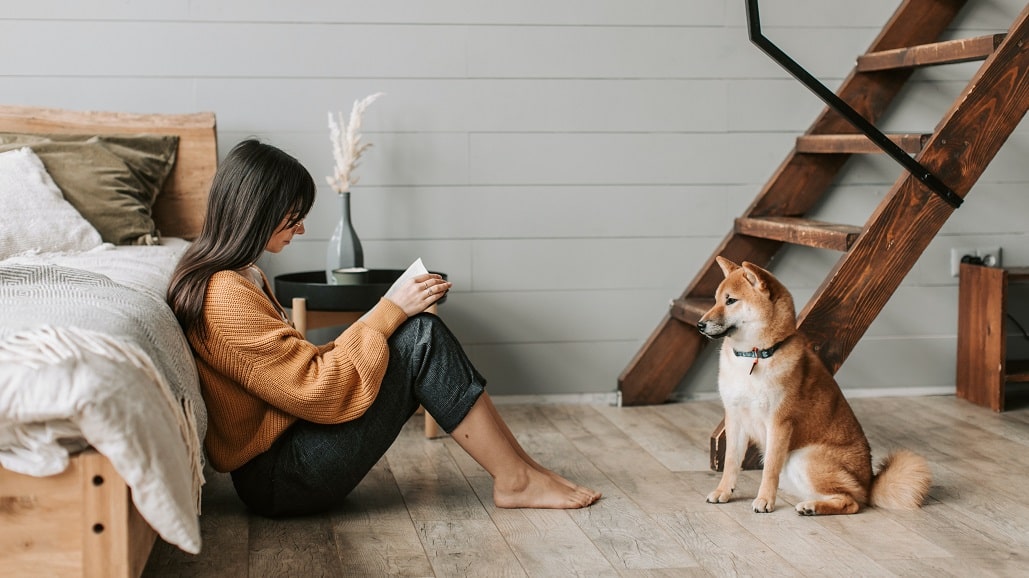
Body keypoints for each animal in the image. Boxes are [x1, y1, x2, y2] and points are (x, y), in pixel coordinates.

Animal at [699, 256, 934, 512]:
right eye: (715, 300)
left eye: (731, 300)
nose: (700, 324)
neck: (754, 355)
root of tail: (870, 483)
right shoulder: (734, 417)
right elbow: (731, 462)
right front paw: (723, 491)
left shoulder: (779, 423)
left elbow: (769, 469)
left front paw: (764, 500)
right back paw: (810, 504)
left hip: (806, 457)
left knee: (851, 502)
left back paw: (813, 507)